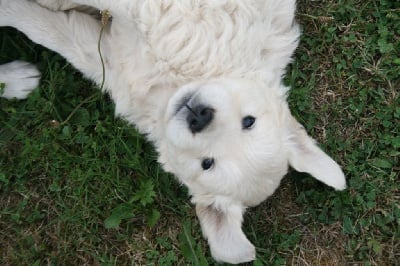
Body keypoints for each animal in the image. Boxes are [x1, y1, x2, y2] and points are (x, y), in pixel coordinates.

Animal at [0, 0, 346, 264]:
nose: (199, 116)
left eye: (207, 163)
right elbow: (47, 26)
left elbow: (52, 28)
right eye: (249, 121)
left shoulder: (111, 49)